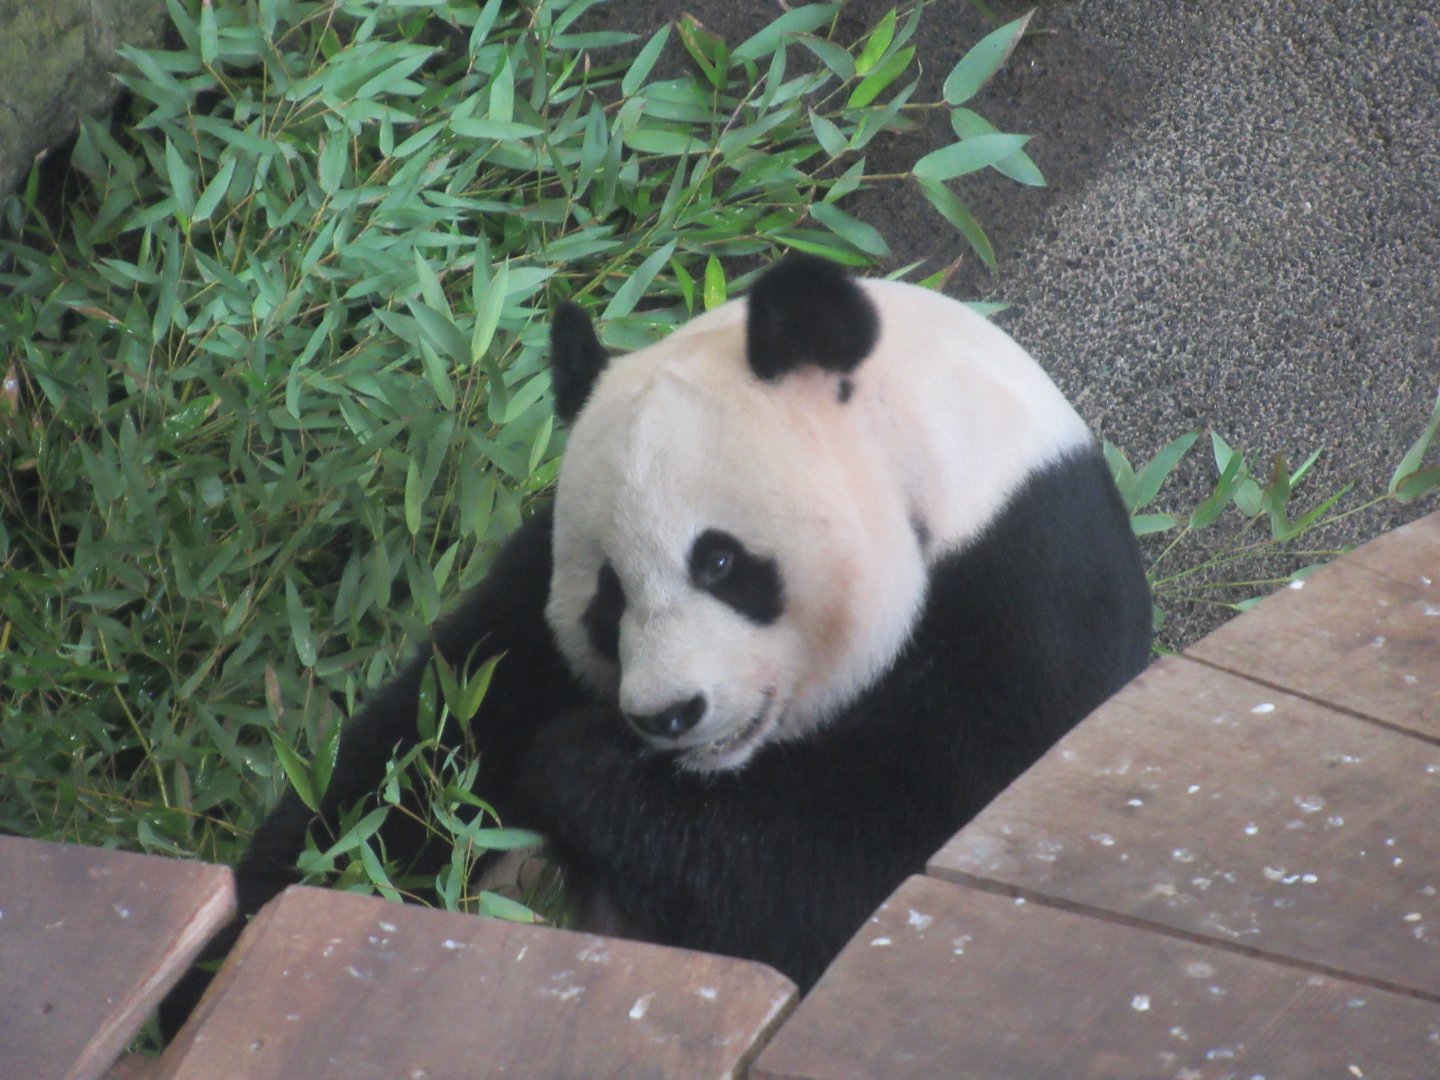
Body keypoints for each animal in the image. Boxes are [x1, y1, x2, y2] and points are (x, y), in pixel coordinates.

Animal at [163, 254, 1151, 1029]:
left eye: (719, 561)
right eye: (609, 598)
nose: (667, 715)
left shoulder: (1023, 606)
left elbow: (863, 872)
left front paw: (578, 769)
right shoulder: (527, 601)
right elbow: (421, 746)